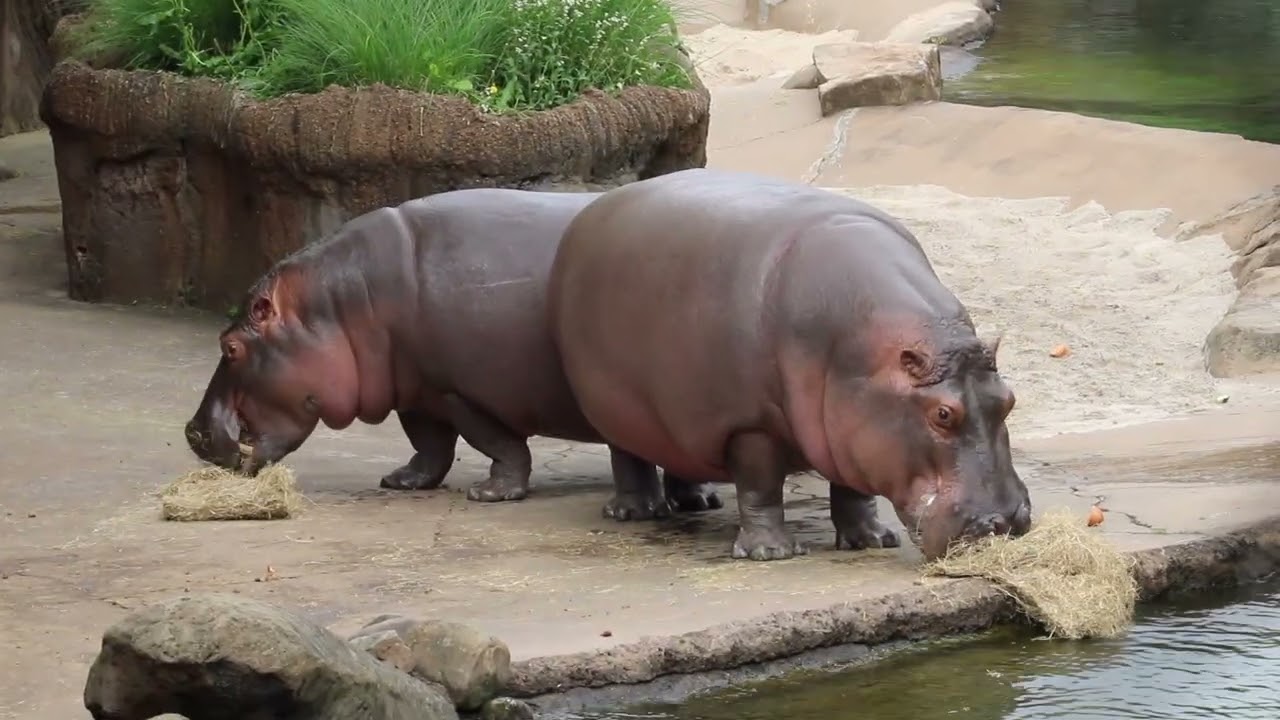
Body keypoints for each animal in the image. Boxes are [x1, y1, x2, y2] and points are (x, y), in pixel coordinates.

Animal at [184, 187, 720, 512]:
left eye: (229, 346)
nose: (192, 431)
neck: (342, 306)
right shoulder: (416, 389)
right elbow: (429, 444)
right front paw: (401, 481)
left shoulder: (461, 392)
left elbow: (500, 444)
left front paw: (490, 494)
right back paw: (699, 500)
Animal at [547, 168, 1032, 561]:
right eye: (943, 414)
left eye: (1009, 400)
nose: (1007, 522)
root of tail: (596, 208)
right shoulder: (749, 425)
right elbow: (761, 485)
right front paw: (770, 552)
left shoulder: (848, 428)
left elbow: (853, 489)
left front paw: (871, 541)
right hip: (613, 405)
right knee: (628, 457)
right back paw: (637, 513)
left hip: (680, 412)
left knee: (678, 452)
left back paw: (698, 501)